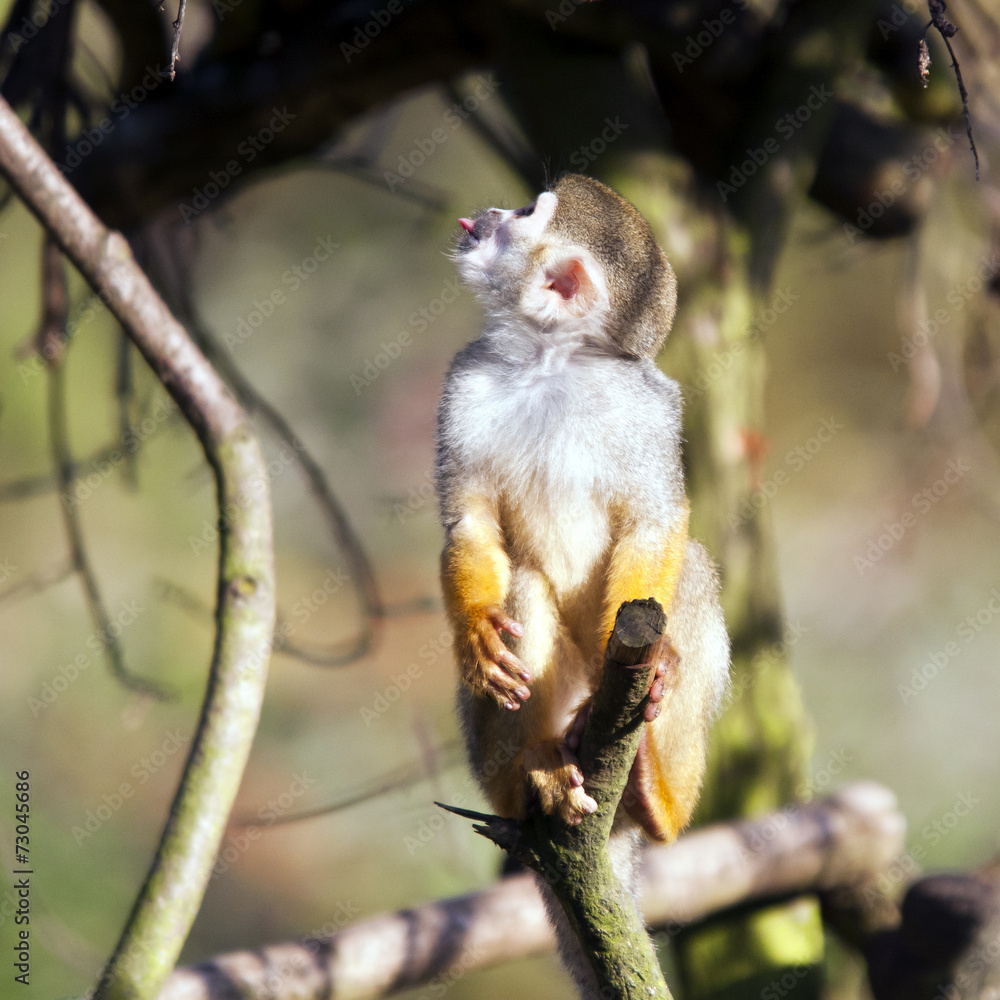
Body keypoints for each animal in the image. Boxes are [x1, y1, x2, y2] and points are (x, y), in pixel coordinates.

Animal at [435, 173, 730, 992]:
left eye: (527, 212)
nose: (490, 213)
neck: (552, 360)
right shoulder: (465, 379)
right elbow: (468, 522)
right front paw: (476, 630)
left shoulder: (652, 407)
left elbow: (659, 522)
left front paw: (650, 668)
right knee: (528, 586)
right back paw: (536, 774)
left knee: (696, 571)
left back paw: (657, 795)